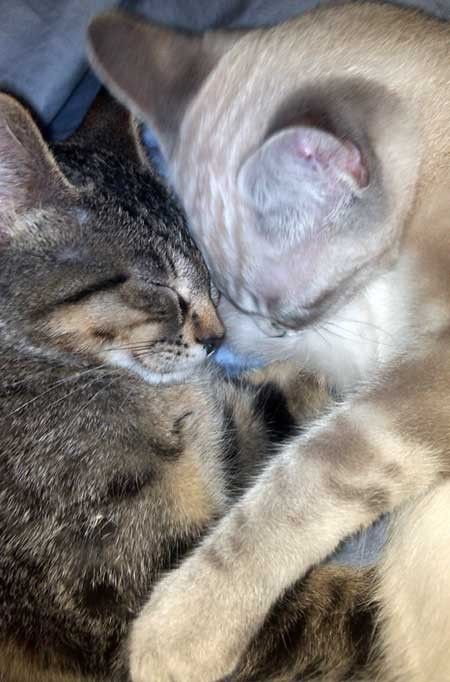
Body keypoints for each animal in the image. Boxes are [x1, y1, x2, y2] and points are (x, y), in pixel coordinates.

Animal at [0, 90, 342, 682]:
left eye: (206, 269)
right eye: (159, 286)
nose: (216, 336)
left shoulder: (232, 432)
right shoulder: (131, 600)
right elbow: (343, 615)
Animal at [87, 3, 450, 681]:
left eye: (292, 307)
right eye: (274, 311)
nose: (283, 328)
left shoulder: (421, 377)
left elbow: (306, 474)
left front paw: (179, 629)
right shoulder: (364, 341)